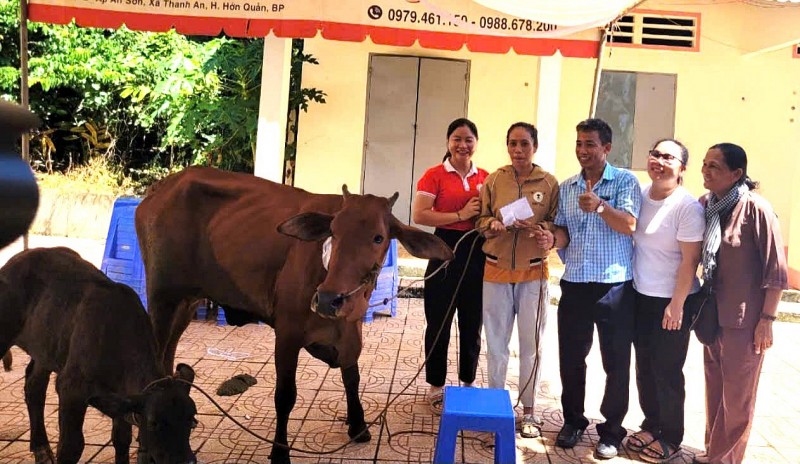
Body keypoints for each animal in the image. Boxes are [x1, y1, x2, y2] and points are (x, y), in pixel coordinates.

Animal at [0, 248, 198, 462]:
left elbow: (122, 438)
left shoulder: (122, 399)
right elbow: (71, 447)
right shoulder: (70, 389)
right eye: (154, 423)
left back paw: (41, 448)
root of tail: (18, 258)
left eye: (192, 420)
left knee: (34, 386)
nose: (186, 460)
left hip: (45, 349)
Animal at [134, 168, 454, 464]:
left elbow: (352, 377)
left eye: (378, 237)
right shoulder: (287, 335)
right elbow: (285, 396)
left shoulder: (352, 332)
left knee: (167, 358)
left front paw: (358, 425)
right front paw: (279, 452)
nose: (328, 299)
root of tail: (162, 186)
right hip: (162, 297)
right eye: (333, 231)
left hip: (186, 302)